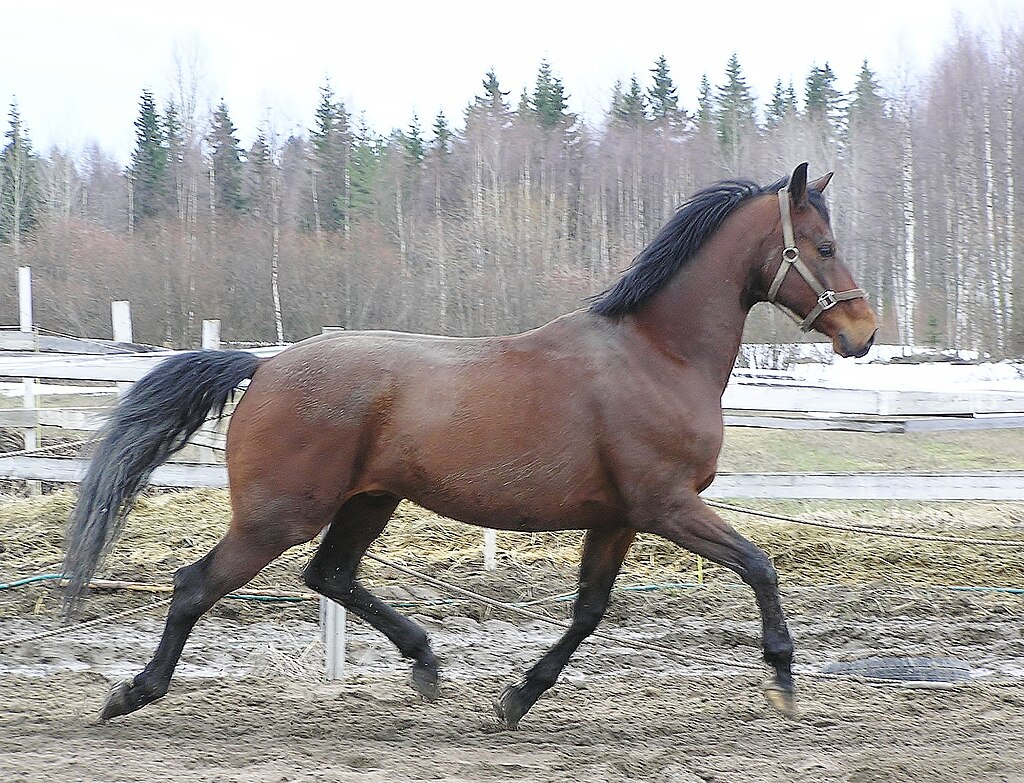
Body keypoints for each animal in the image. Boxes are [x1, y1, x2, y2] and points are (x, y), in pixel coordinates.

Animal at [61, 163, 880, 728]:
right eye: (824, 245)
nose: (864, 333)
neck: (657, 355)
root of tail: (264, 365)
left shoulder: (618, 517)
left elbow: (589, 610)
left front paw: (516, 699)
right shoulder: (666, 506)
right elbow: (760, 566)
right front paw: (782, 680)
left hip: (368, 501)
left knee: (330, 575)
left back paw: (426, 663)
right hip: (278, 516)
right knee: (195, 584)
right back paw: (132, 693)